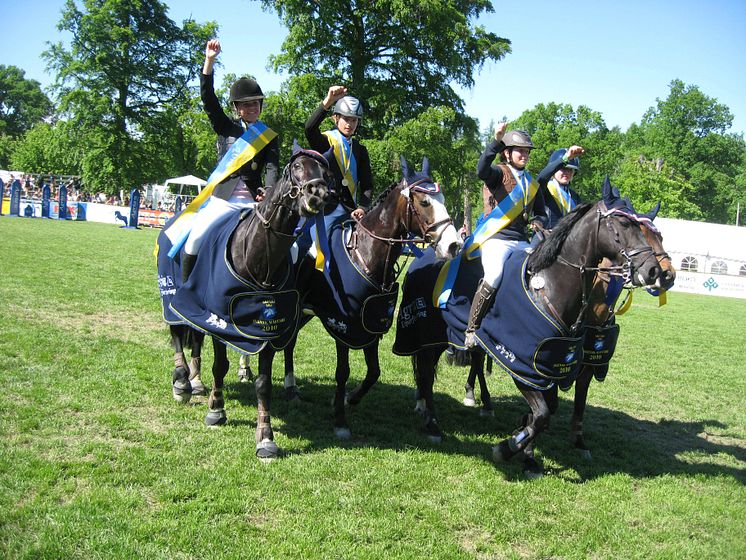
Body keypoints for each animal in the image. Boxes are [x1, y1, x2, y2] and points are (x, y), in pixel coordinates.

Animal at [155, 145, 330, 460]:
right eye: (297, 167)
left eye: (326, 171)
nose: (318, 194)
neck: (257, 257)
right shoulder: (219, 322)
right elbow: (219, 366)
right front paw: (216, 410)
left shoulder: (266, 329)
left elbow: (263, 383)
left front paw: (266, 437)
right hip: (172, 298)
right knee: (176, 331)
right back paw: (183, 381)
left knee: (194, 338)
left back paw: (193, 380)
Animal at [280, 155, 462, 440]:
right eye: (424, 202)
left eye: (443, 198)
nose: (453, 245)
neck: (367, 254)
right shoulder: (341, 325)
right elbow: (342, 372)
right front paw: (340, 420)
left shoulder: (372, 322)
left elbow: (374, 372)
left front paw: (349, 399)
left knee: (290, 343)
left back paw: (291, 388)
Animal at [392, 179, 660, 476]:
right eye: (624, 224)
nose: (654, 271)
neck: (549, 286)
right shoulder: (522, 366)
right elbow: (541, 415)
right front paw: (507, 448)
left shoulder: (548, 366)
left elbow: (546, 411)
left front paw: (528, 452)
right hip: (429, 337)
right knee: (427, 375)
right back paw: (433, 424)